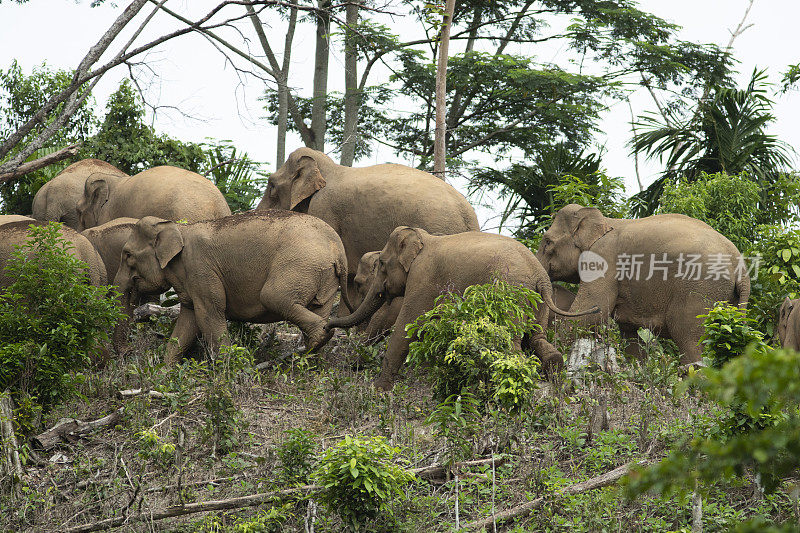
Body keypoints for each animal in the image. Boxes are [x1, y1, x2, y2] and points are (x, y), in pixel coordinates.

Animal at [114, 210, 352, 364]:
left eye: (128, 255)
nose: (127, 353)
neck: (180, 228)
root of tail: (337, 249)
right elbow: (188, 322)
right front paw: (165, 372)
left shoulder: (201, 269)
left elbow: (209, 314)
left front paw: (231, 370)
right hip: (324, 277)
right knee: (318, 308)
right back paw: (312, 364)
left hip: (301, 263)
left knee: (274, 297)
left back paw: (316, 342)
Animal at [328, 225, 596, 390]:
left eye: (382, 264)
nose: (328, 326)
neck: (423, 237)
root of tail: (541, 277)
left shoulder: (423, 278)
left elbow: (408, 324)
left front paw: (379, 390)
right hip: (536, 305)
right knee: (536, 339)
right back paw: (556, 382)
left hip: (511, 297)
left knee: (513, 346)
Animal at [536, 203, 752, 362]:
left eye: (547, 242)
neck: (604, 221)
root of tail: (741, 269)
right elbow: (631, 333)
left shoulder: (603, 258)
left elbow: (593, 310)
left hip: (701, 289)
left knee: (688, 337)